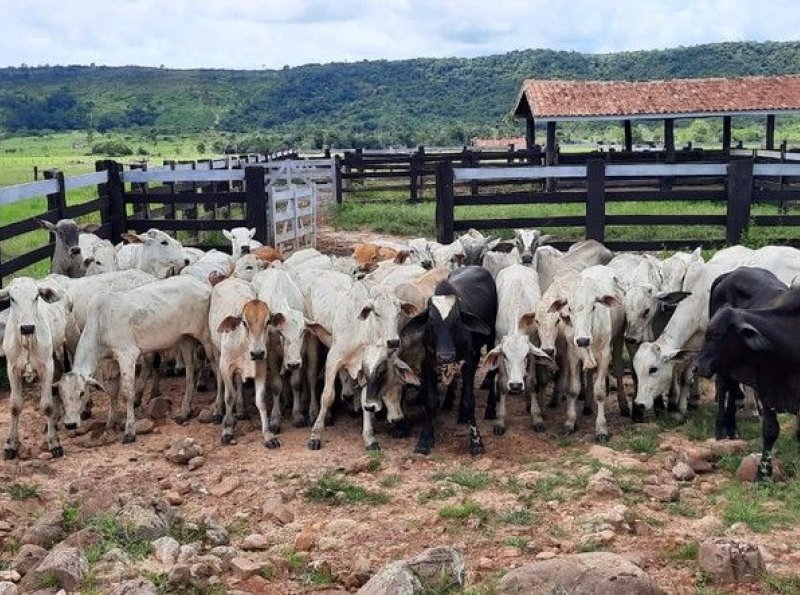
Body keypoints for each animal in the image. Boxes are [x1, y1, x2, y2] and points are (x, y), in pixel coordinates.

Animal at [0, 280, 72, 460]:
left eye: (36, 297)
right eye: (12, 298)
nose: (27, 327)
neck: (26, 341)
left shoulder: (46, 367)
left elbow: (46, 405)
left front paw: (54, 443)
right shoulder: (12, 369)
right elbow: (15, 406)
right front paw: (11, 444)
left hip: (69, 341)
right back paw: (54, 421)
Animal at [404, 266, 496, 456]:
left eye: (458, 320)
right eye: (431, 321)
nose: (445, 356)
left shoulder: (469, 362)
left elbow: (469, 400)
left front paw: (476, 441)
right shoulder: (428, 364)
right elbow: (430, 401)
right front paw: (424, 440)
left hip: (491, 340)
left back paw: (489, 409)